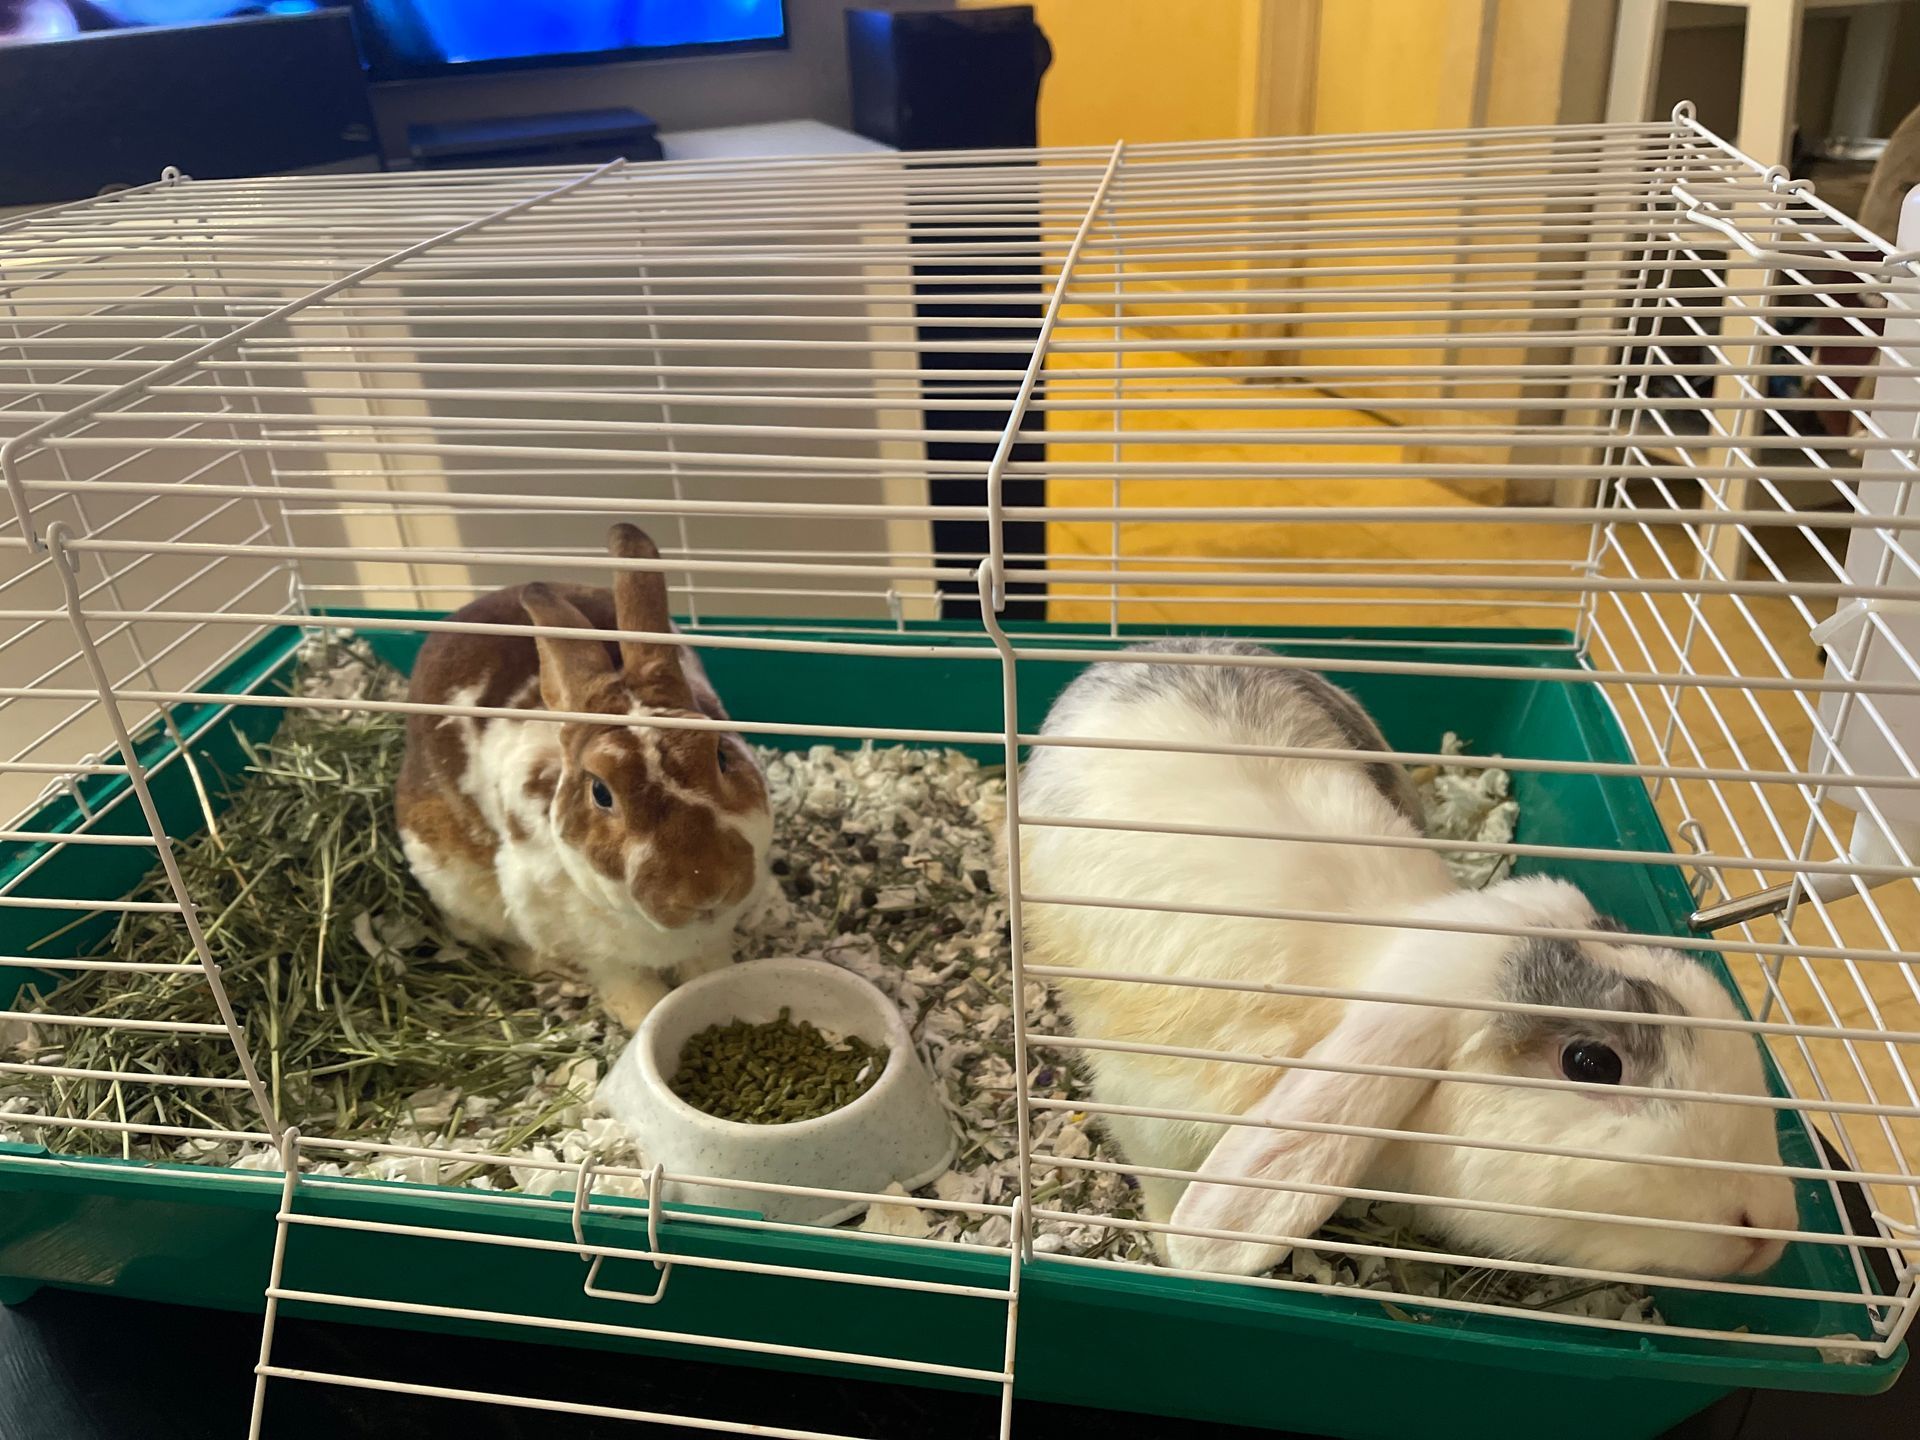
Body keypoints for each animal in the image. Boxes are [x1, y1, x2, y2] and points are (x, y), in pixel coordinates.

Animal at [396, 523, 772, 1029]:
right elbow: (630, 988)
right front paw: (642, 1018)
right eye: (600, 792)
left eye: (721, 755)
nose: (706, 888)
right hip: (450, 877)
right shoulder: (596, 953)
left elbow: (705, 971)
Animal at [1014, 637, 1798, 1281]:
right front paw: (1179, 1252)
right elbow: (1167, 1186)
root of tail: (1151, 647)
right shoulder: (1152, 1118)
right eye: (1591, 1062)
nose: (1771, 1229)